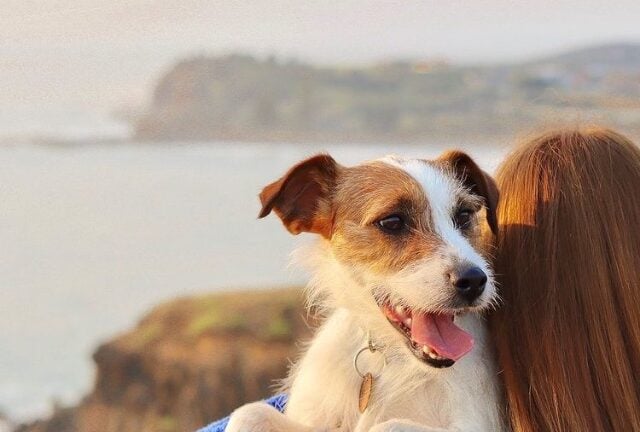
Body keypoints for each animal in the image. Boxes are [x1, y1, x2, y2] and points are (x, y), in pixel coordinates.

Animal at [228, 152, 502, 432]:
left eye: (464, 215)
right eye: (392, 221)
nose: (474, 280)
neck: (390, 357)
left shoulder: (473, 424)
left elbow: (387, 425)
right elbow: (249, 413)